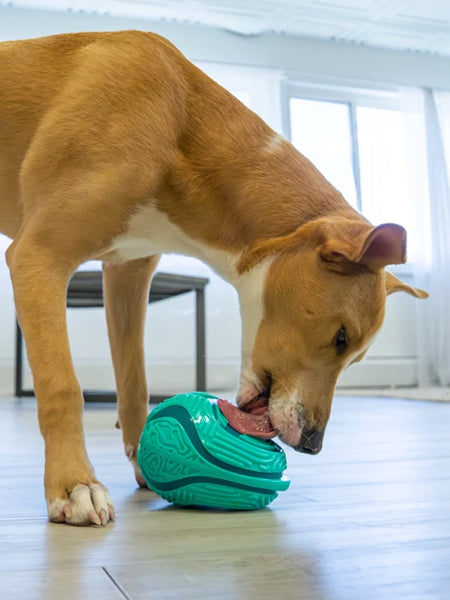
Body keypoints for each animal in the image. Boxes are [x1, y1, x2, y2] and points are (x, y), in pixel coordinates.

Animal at [0, 30, 428, 524]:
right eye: (341, 338)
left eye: (356, 359)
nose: (313, 445)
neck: (178, 118)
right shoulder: (38, 257)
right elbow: (62, 387)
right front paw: (74, 484)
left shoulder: (128, 272)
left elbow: (134, 385)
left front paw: (144, 462)